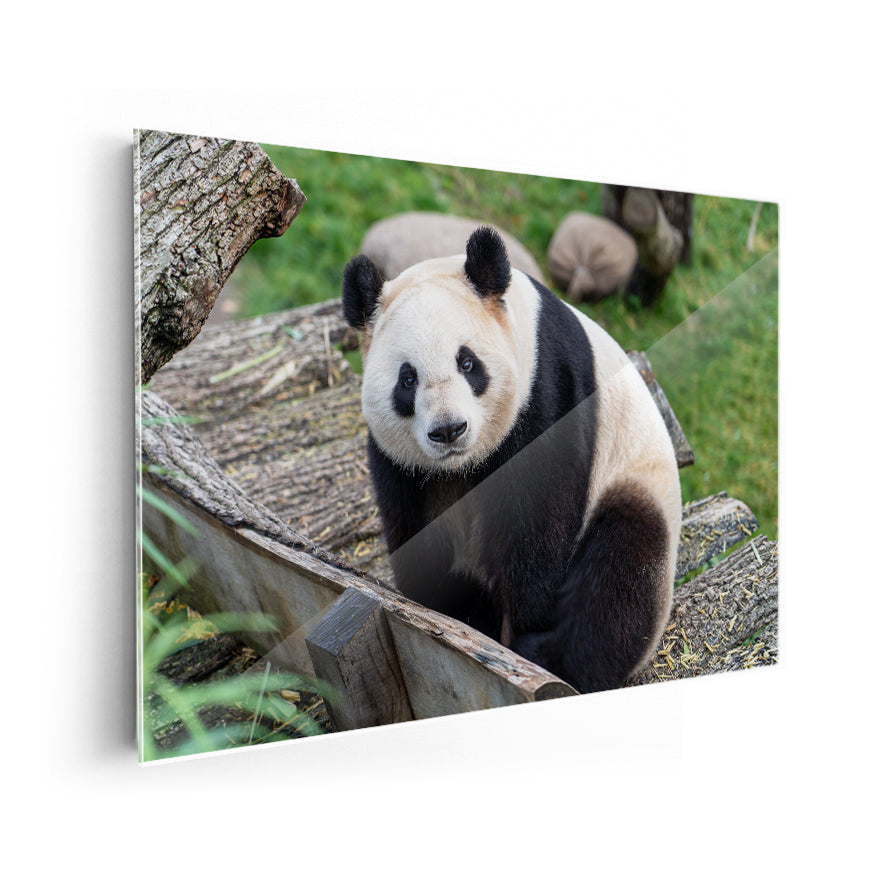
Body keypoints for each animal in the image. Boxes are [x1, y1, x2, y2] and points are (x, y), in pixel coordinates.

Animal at [342, 226, 681, 694]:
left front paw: (522, 629)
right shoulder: (400, 462)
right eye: (407, 379)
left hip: (636, 483)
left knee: (622, 571)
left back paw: (551, 656)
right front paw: (450, 614)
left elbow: (539, 520)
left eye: (467, 363)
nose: (449, 430)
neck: (462, 466)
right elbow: (415, 528)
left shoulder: (547, 388)